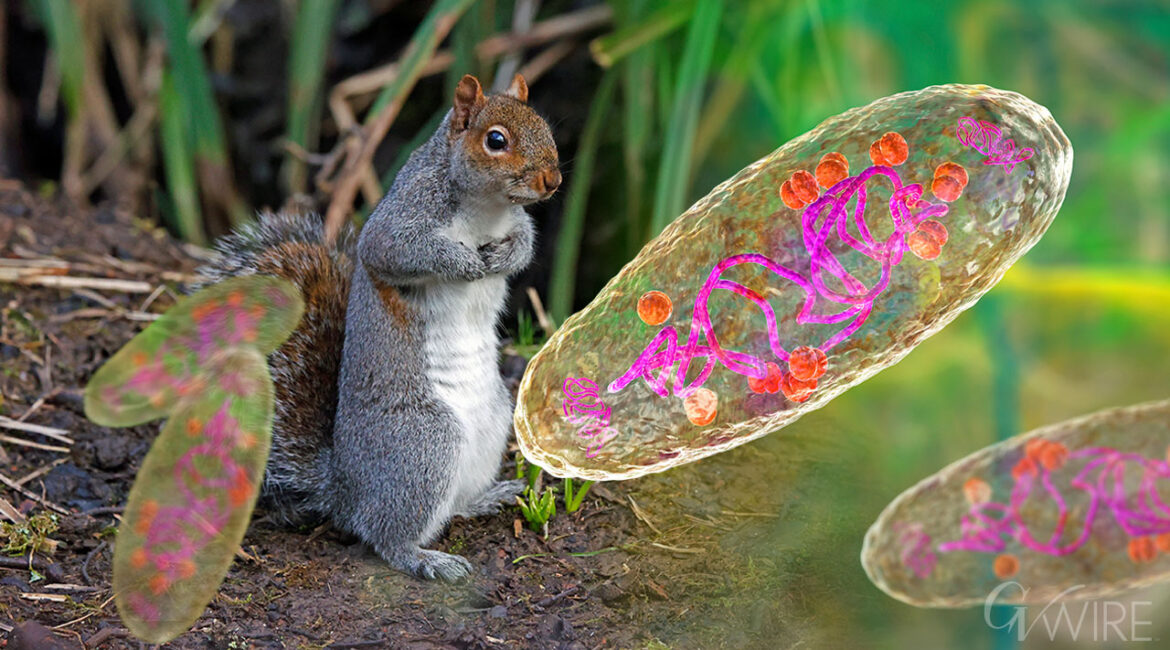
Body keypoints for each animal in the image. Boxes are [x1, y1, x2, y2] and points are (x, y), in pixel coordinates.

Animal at [196, 73, 561, 581]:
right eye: (495, 141)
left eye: (545, 126)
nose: (553, 180)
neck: (487, 208)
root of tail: (345, 489)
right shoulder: (399, 222)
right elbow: (397, 251)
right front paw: (465, 263)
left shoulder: (516, 221)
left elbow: (524, 242)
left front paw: (504, 255)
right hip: (424, 444)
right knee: (387, 536)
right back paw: (426, 559)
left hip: (494, 421)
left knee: (450, 508)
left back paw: (487, 498)